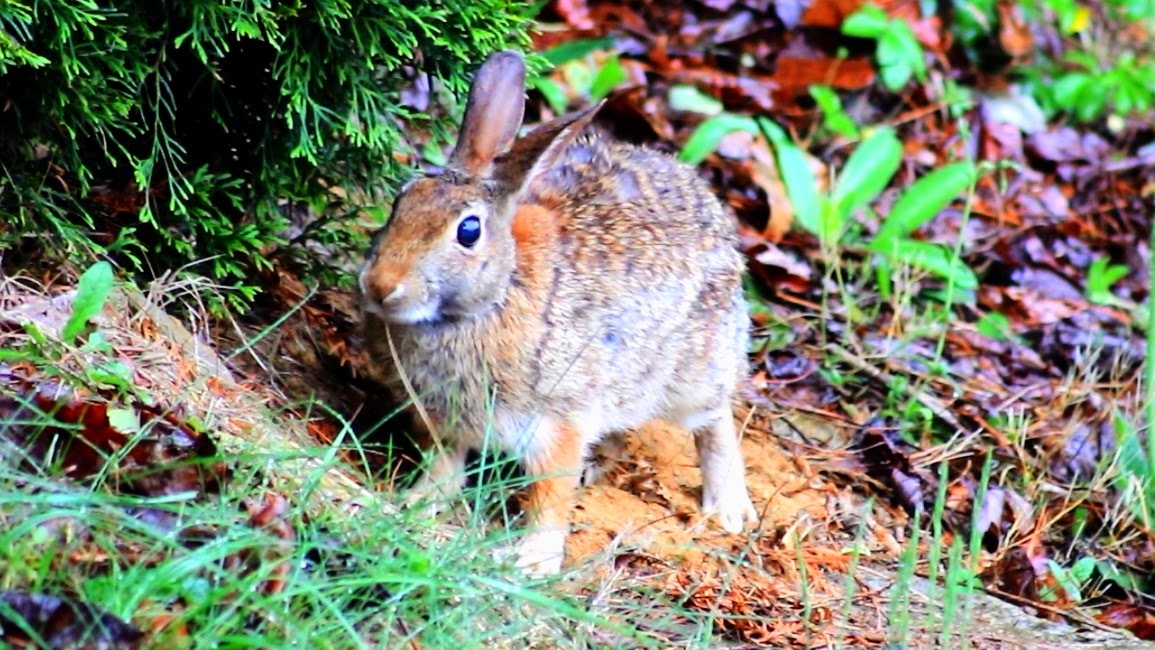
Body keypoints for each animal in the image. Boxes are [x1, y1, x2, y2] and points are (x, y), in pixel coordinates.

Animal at [359, 50, 757, 576]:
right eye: (401, 202)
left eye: (468, 231)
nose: (380, 286)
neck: (495, 295)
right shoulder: (442, 421)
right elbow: (444, 470)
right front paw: (412, 504)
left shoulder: (557, 423)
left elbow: (550, 496)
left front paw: (533, 560)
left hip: (691, 372)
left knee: (716, 418)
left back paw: (728, 508)